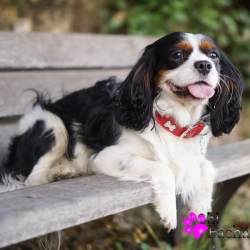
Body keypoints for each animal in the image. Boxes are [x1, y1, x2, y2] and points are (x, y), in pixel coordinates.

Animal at [0, 31, 242, 230]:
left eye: (213, 56)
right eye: (177, 55)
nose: (205, 65)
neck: (173, 120)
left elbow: (207, 167)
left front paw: (201, 208)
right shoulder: (105, 157)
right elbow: (163, 169)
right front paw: (169, 212)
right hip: (52, 124)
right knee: (33, 178)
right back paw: (59, 172)